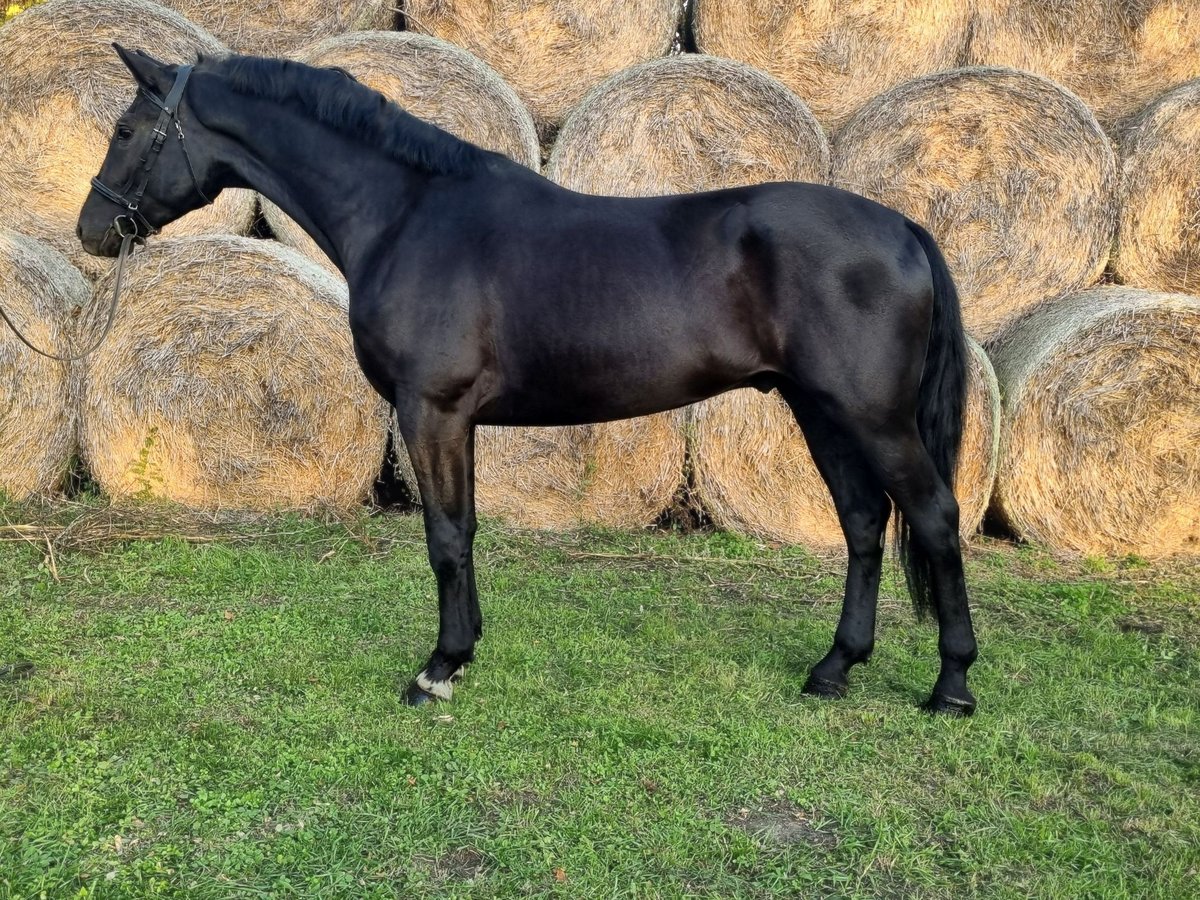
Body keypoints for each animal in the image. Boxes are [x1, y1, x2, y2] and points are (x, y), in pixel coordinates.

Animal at [75, 45, 979, 715]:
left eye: (126, 127)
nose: (91, 229)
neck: (410, 216)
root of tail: (902, 226)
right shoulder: (453, 421)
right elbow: (465, 530)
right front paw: (464, 652)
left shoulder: (431, 411)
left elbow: (444, 537)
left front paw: (437, 670)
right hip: (818, 409)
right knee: (864, 523)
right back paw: (834, 669)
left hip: (871, 415)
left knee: (934, 519)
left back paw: (951, 686)